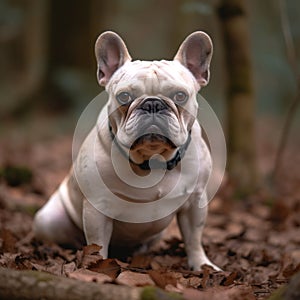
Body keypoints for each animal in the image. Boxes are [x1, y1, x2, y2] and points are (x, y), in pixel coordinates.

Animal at [33, 31, 220, 272]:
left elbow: (194, 239)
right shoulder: (98, 208)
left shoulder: (195, 202)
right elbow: (98, 244)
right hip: (48, 220)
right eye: (124, 97)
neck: (152, 159)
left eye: (180, 96)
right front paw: (97, 267)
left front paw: (202, 265)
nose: (152, 104)